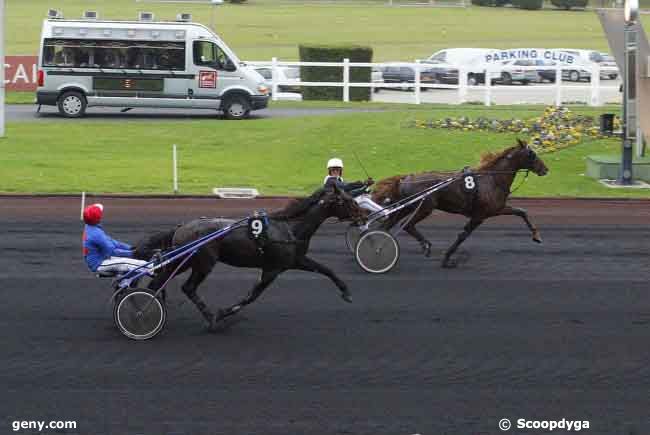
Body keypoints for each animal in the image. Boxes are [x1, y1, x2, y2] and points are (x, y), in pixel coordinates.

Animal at [133, 186, 364, 332]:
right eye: (348, 200)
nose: (362, 215)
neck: (289, 228)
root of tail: (182, 226)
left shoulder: (295, 261)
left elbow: (327, 270)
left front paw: (346, 293)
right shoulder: (272, 269)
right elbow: (252, 296)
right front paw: (223, 313)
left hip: (185, 260)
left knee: (159, 281)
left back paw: (144, 307)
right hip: (203, 262)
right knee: (187, 287)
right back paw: (210, 319)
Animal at [370, 140, 548, 270]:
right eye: (532, 154)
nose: (545, 169)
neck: (492, 179)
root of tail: (406, 178)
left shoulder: (496, 209)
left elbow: (521, 211)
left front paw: (536, 236)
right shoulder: (481, 215)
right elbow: (463, 235)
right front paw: (447, 258)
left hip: (407, 207)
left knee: (387, 226)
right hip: (424, 207)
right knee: (407, 225)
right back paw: (425, 245)